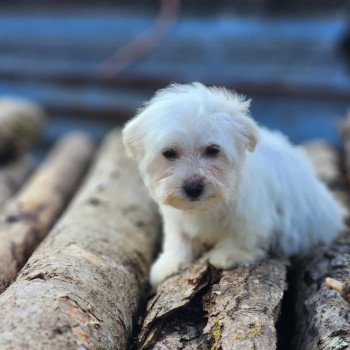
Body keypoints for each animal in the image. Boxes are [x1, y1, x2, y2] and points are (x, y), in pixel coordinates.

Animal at [121, 82, 346, 288]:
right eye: (168, 153)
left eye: (213, 150)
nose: (193, 188)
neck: (207, 206)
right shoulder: (176, 215)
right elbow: (178, 236)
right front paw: (171, 261)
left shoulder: (251, 215)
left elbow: (241, 234)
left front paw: (228, 255)